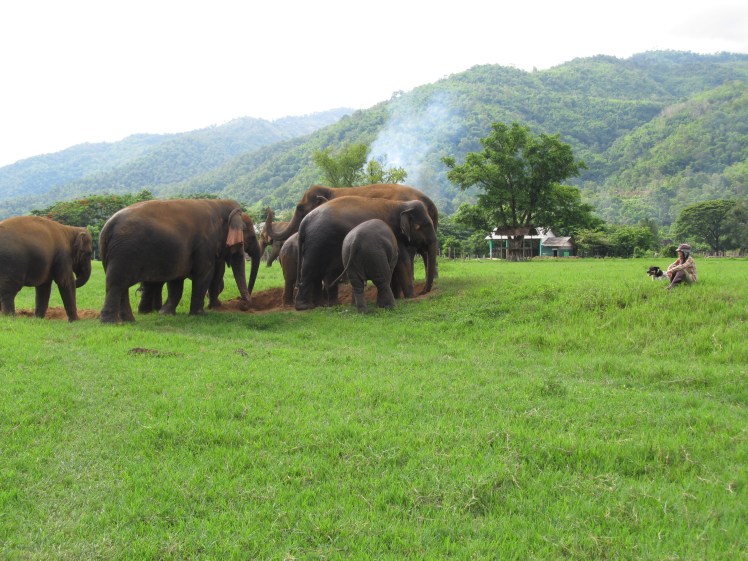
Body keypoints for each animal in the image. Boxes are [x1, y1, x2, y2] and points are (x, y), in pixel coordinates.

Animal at [99, 199, 261, 323]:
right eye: (251, 236)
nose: (244, 305)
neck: (219, 204)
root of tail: (107, 226)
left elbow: (176, 280)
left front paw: (166, 313)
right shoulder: (204, 245)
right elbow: (204, 274)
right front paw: (199, 314)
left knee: (122, 286)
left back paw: (129, 321)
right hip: (124, 253)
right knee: (116, 284)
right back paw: (112, 322)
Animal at [294, 196, 437, 311]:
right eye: (421, 226)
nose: (423, 292)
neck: (402, 204)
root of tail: (303, 224)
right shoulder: (395, 233)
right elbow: (403, 261)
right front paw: (410, 297)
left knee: (322, 272)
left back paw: (324, 305)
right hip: (317, 242)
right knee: (310, 270)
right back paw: (304, 307)